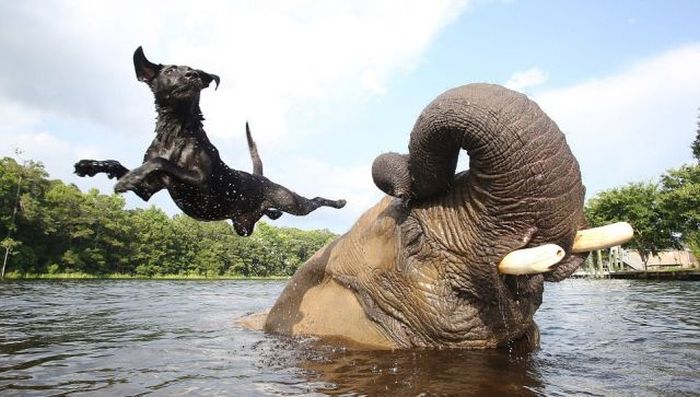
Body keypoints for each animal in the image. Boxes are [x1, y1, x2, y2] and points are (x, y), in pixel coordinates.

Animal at [75, 48, 346, 237]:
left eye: (192, 69)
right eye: (170, 70)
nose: (193, 75)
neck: (175, 131)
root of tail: (260, 178)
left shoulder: (199, 180)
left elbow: (160, 162)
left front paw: (127, 178)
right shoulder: (148, 191)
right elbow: (121, 163)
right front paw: (91, 166)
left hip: (290, 201)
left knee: (314, 201)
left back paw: (338, 202)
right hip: (242, 225)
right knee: (266, 216)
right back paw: (273, 212)